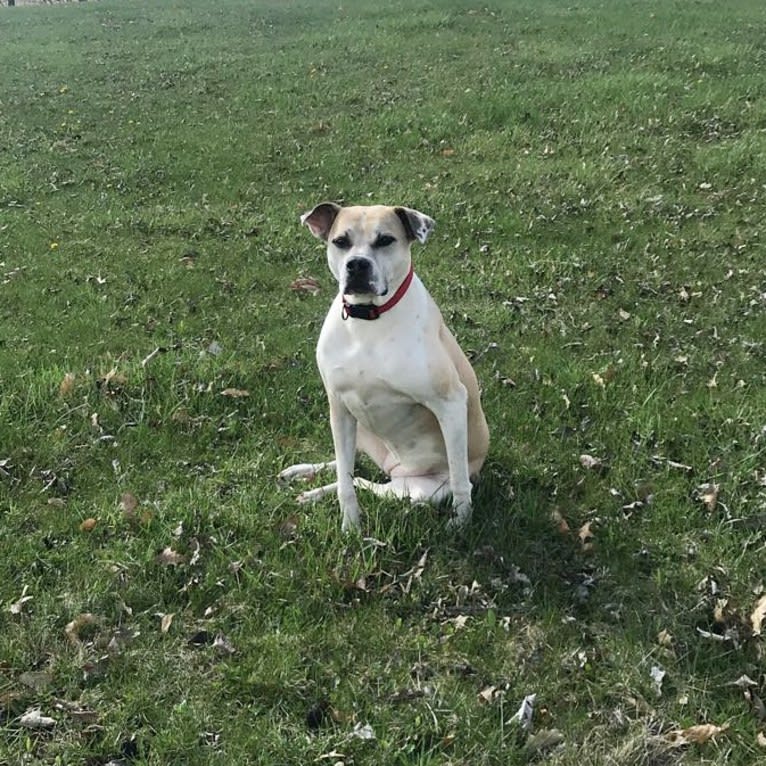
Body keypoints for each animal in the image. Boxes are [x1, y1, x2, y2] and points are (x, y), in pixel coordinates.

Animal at [282, 201, 492, 532]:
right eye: (340, 241)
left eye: (385, 240)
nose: (357, 265)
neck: (368, 319)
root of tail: (392, 468)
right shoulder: (339, 407)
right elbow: (345, 481)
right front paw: (350, 527)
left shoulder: (450, 403)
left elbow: (460, 480)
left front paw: (461, 522)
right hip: (357, 430)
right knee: (349, 469)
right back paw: (305, 476)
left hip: (415, 490)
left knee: (364, 481)